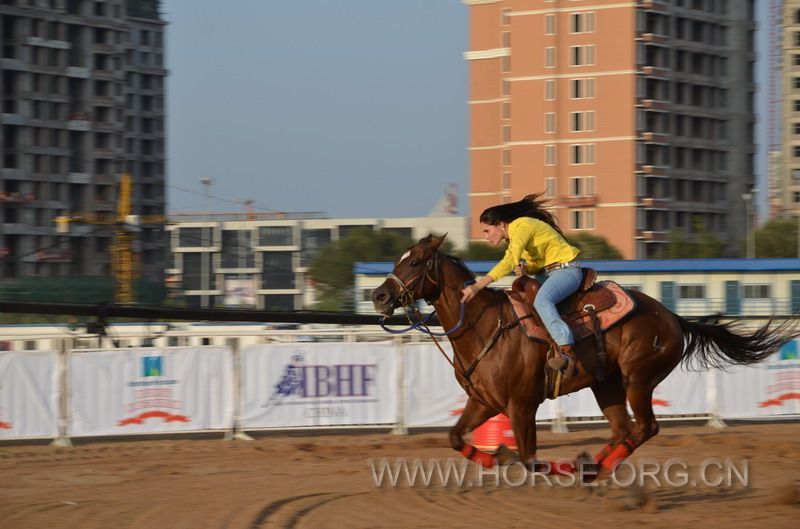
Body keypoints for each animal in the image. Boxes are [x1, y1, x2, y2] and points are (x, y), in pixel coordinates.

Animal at [372, 235, 796, 474]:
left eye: (414, 262)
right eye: (396, 260)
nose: (379, 295)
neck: (485, 325)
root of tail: (673, 317)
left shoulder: (521, 405)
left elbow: (529, 459)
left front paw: (513, 458)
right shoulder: (484, 402)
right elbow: (456, 437)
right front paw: (497, 457)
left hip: (639, 379)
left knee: (644, 428)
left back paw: (591, 469)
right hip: (606, 385)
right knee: (624, 430)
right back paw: (591, 466)